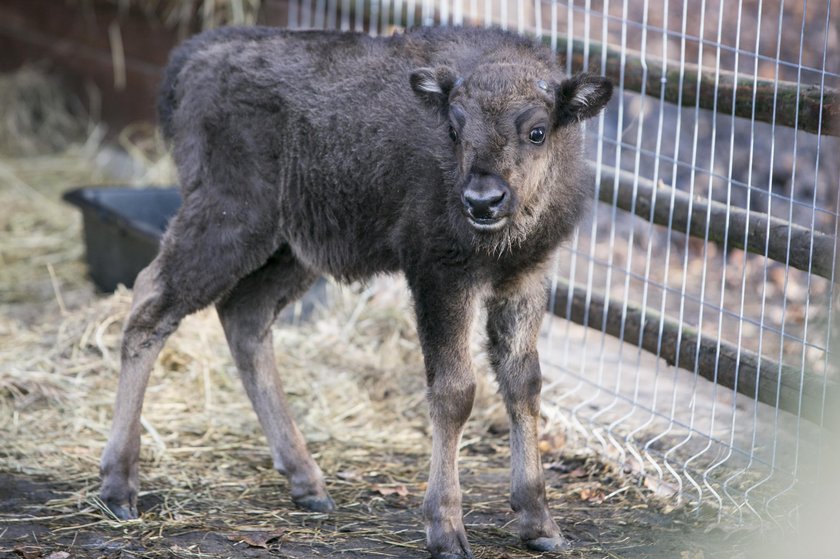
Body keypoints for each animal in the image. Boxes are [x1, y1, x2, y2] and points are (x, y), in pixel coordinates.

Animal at [100, 25, 612, 556]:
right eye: (454, 130)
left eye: (537, 130)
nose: (482, 201)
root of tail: (195, 54)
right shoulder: (439, 275)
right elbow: (455, 390)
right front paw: (446, 529)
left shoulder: (525, 279)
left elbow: (523, 383)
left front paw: (541, 524)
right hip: (230, 221)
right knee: (151, 302)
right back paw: (119, 488)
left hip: (290, 249)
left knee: (244, 318)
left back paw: (307, 482)